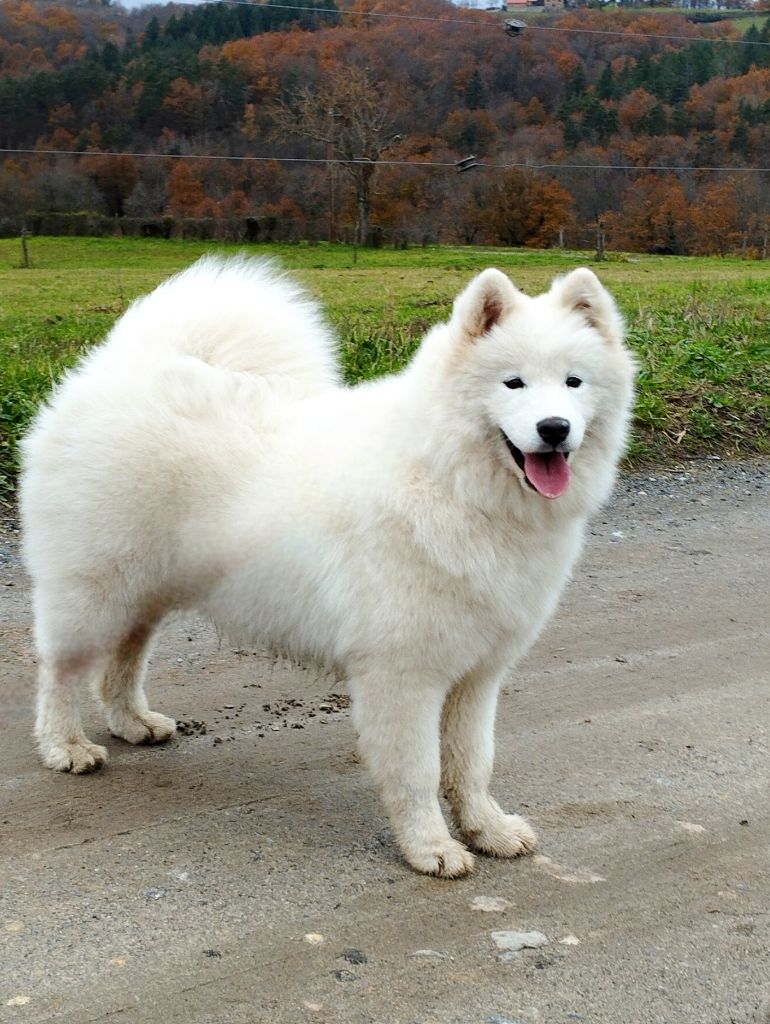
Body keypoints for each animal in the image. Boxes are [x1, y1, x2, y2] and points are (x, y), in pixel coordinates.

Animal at [22, 260, 638, 876]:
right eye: (513, 383)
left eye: (573, 382)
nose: (555, 428)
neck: (449, 479)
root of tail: (124, 368)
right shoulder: (402, 676)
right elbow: (418, 772)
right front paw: (430, 848)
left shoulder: (477, 674)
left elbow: (472, 762)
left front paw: (487, 829)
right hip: (95, 591)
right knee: (61, 671)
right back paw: (65, 747)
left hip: (145, 589)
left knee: (124, 658)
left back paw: (133, 721)